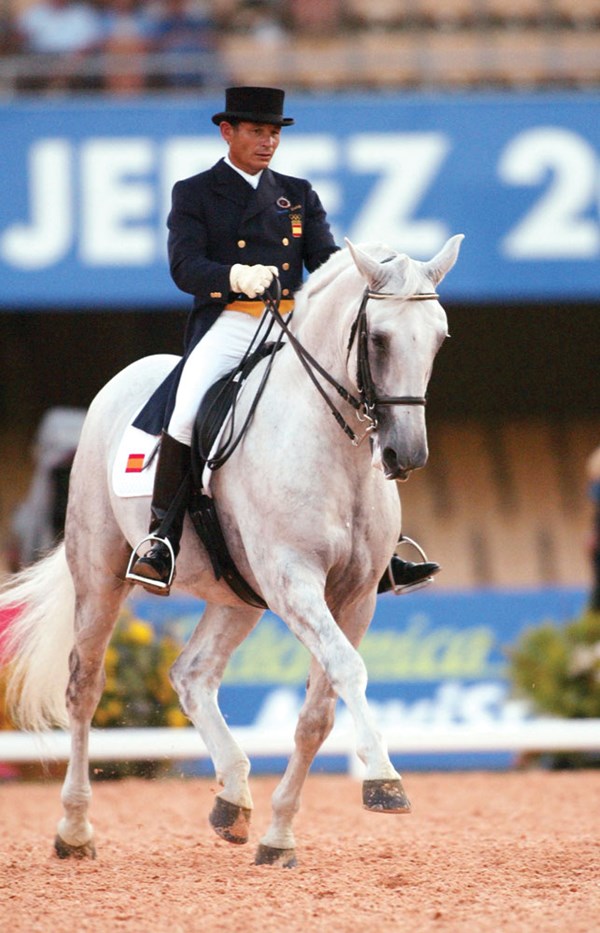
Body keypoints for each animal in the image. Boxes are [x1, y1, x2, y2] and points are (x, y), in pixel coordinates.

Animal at [0, 234, 463, 867]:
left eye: (439, 337)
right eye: (378, 339)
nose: (405, 456)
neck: (332, 445)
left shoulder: (357, 595)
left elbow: (318, 712)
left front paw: (279, 835)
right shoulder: (294, 581)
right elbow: (349, 669)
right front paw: (384, 780)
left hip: (237, 596)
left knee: (192, 674)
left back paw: (233, 799)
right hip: (100, 575)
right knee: (84, 687)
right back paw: (75, 829)